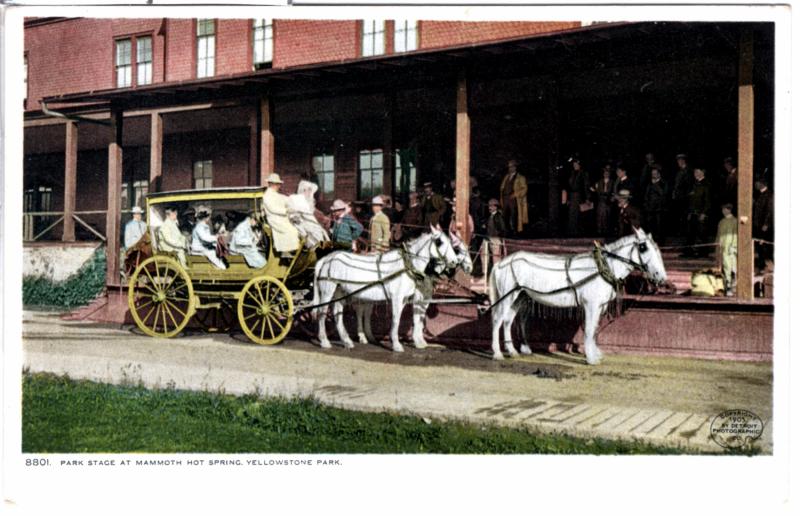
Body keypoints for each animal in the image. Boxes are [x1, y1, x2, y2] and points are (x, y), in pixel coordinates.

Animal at [314, 228, 462, 352]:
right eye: (439, 242)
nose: (454, 262)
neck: (406, 266)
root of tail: (327, 259)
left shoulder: (405, 299)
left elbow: (408, 318)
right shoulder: (397, 297)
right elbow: (396, 319)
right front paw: (397, 345)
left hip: (340, 291)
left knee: (337, 313)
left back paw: (347, 342)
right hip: (328, 291)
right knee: (322, 312)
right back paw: (325, 341)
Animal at [488, 228, 668, 364]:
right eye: (643, 247)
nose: (661, 277)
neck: (602, 268)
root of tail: (501, 262)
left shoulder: (599, 306)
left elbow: (594, 329)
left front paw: (595, 353)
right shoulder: (591, 305)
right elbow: (588, 329)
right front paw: (591, 358)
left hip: (518, 297)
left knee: (507, 321)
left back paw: (512, 351)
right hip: (507, 296)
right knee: (497, 320)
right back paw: (497, 353)